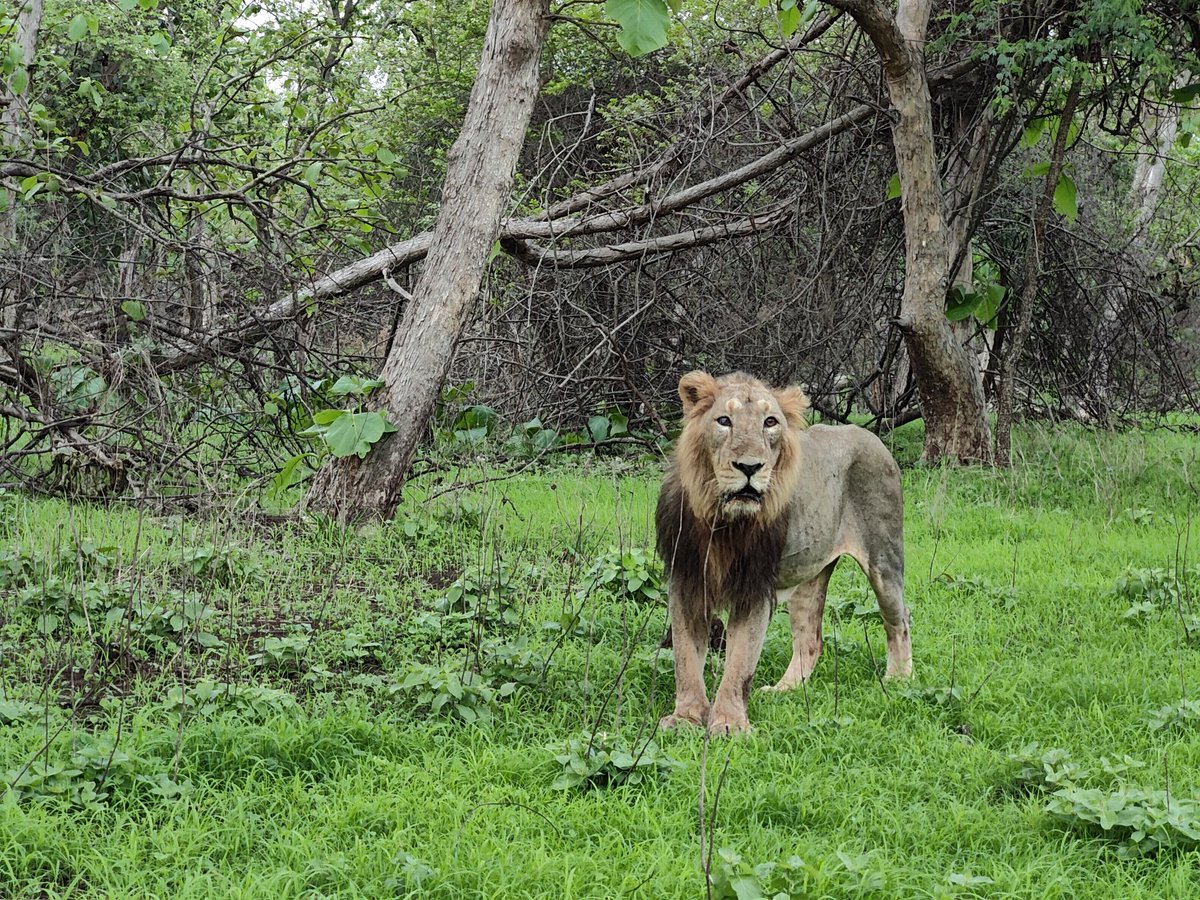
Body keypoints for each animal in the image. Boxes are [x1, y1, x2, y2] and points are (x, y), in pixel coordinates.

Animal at [655, 371, 911, 734]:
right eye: (724, 421)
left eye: (770, 422)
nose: (749, 466)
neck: (723, 522)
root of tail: (872, 437)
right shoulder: (685, 578)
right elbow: (686, 658)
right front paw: (686, 717)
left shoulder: (754, 587)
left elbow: (740, 661)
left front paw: (730, 724)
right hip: (810, 576)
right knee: (811, 639)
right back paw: (783, 689)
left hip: (883, 559)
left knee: (900, 619)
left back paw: (899, 681)